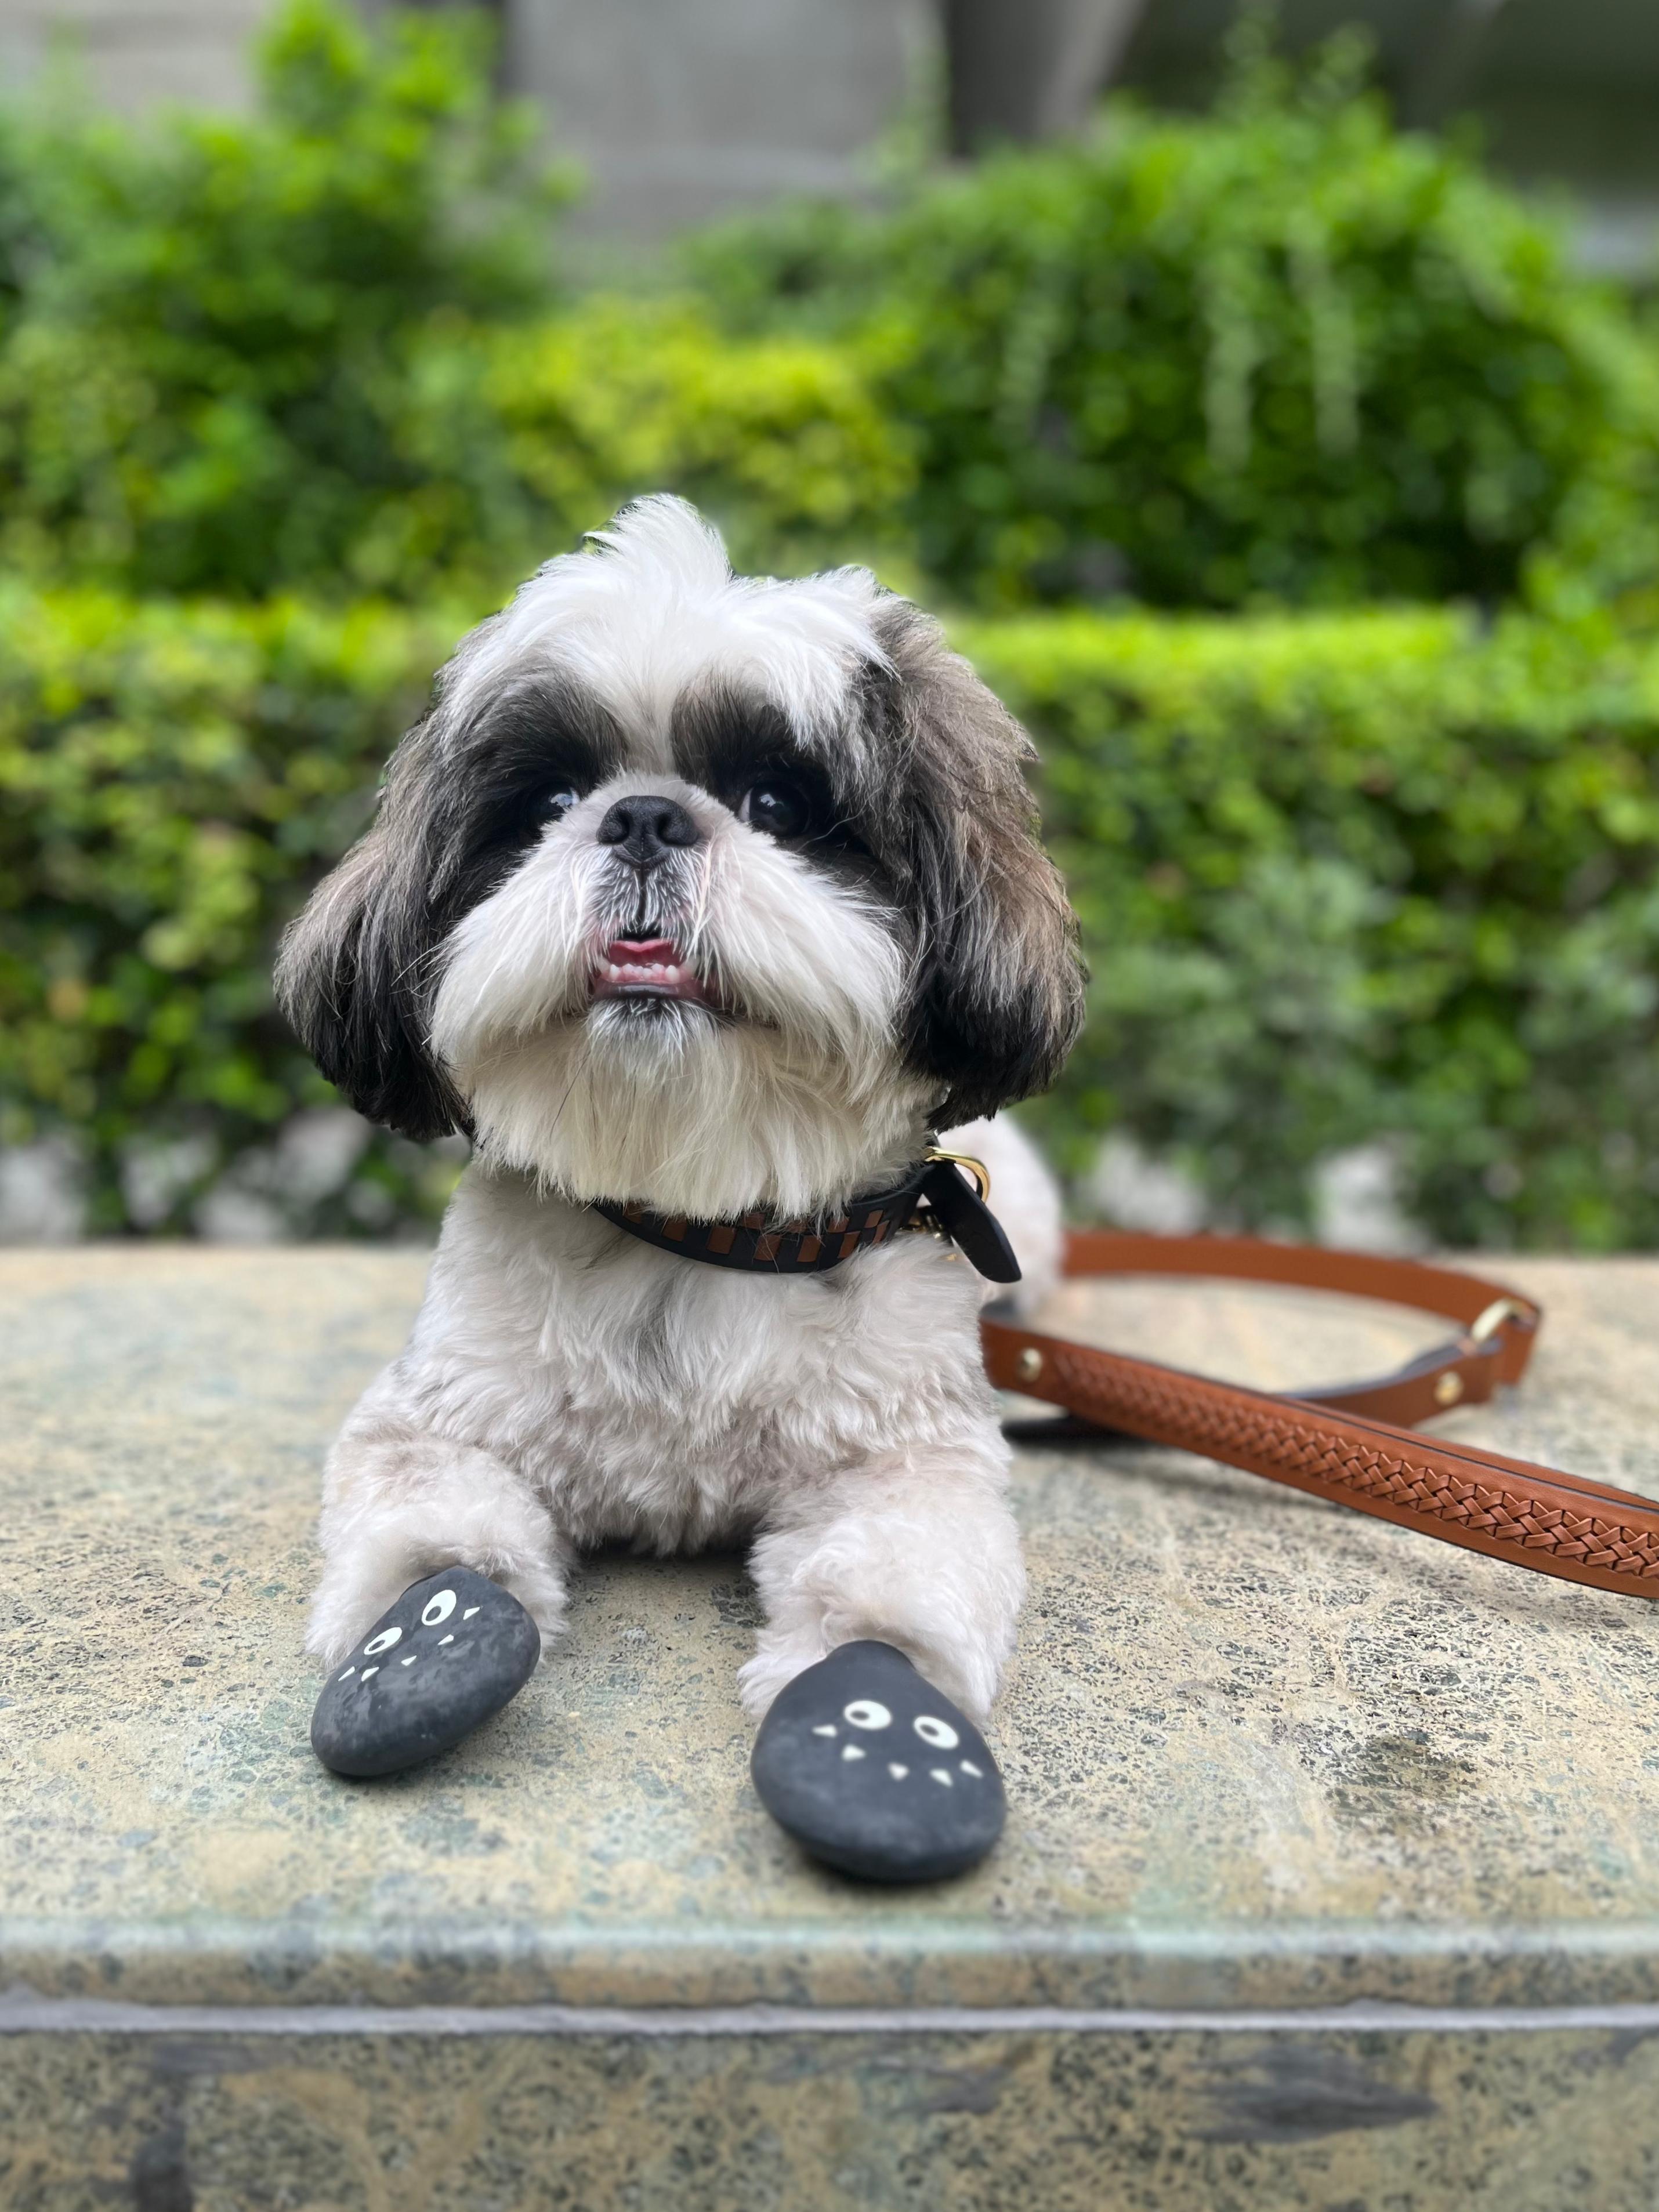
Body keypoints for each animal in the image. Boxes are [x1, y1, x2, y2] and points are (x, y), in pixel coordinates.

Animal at [280, 502, 1084, 1884]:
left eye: (779, 801)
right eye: (549, 800)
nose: (646, 815)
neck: (696, 1222)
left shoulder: (907, 1452)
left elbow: (895, 1584)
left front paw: (879, 1732)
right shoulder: (441, 1413)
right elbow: (431, 1520)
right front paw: (424, 1642)